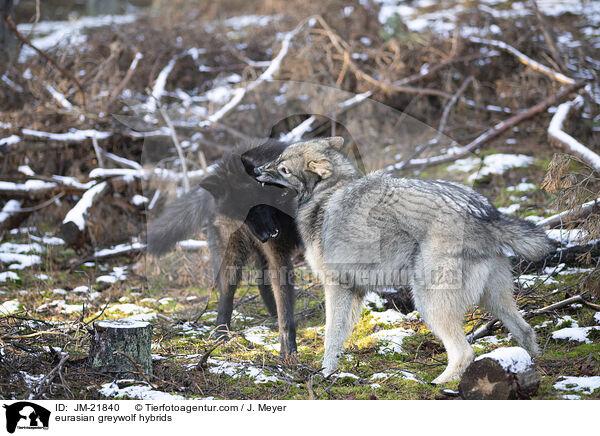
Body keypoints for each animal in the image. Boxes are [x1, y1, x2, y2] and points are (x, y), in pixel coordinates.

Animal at [148, 140, 302, 358]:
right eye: (243, 215)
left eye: (255, 206)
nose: (266, 236)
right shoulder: (277, 253)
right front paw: (288, 347)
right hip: (233, 255)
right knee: (229, 293)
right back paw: (221, 333)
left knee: (263, 284)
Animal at [254, 136, 552, 382]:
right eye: (277, 160)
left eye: (283, 169)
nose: (256, 171)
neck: (326, 194)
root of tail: (485, 213)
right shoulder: (354, 292)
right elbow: (340, 337)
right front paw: (333, 370)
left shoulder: (336, 287)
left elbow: (330, 338)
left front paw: (324, 374)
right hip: (495, 300)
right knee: (526, 331)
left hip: (429, 304)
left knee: (464, 352)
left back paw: (440, 383)